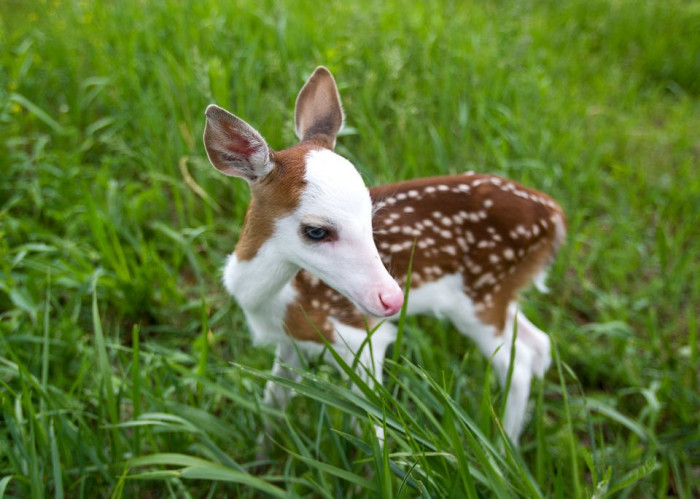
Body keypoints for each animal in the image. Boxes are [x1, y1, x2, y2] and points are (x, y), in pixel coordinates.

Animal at [204, 65, 568, 446]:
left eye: (370, 214)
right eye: (316, 231)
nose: (393, 299)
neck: (274, 301)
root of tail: (556, 217)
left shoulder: (361, 337)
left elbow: (373, 427)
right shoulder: (292, 341)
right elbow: (273, 402)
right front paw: (263, 452)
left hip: (481, 298)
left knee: (520, 361)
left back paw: (503, 446)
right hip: (499, 294)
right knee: (538, 344)